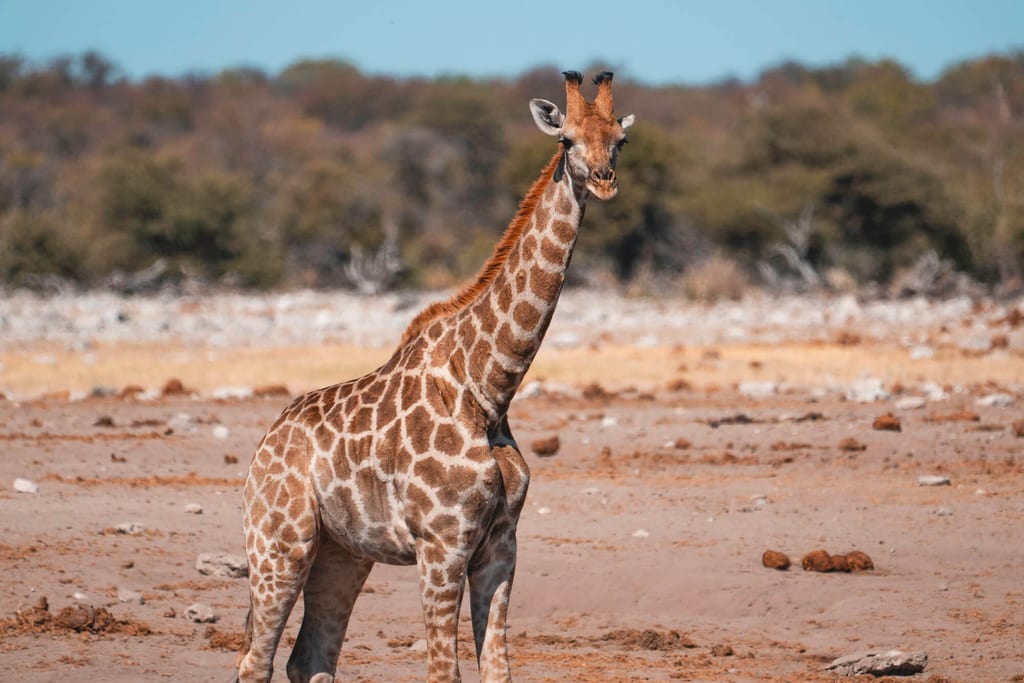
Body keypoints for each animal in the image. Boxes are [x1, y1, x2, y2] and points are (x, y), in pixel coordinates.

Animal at [236, 70, 635, 683]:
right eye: (566, 139)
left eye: (620, 139)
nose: (603, 180)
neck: (490, 388)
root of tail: (263, 445)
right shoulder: (441, 543)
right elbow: (444, 670)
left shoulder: (500, 546)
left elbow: (497, 669)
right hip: (281, 542)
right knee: (254, 661)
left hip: (344, 553)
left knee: (310, 657)